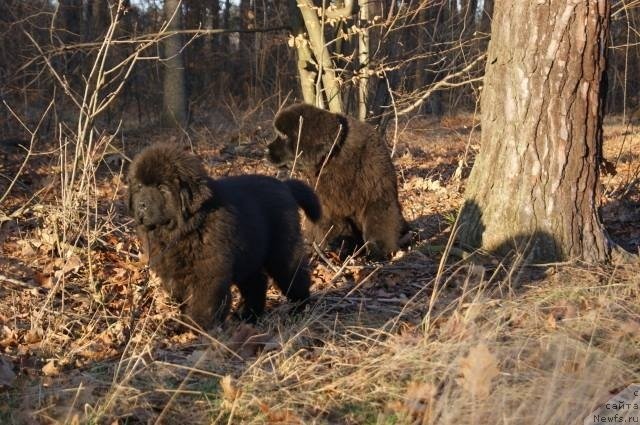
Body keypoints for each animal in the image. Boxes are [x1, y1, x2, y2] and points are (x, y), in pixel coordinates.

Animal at [268, 102, 408, 258]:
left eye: (283, 135)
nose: (266, 149)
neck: (333, 156)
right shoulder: (328, 206)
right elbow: (335, 228)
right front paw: (339, 249)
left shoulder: (378, 195)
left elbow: (379, 223)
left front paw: (378, 251)